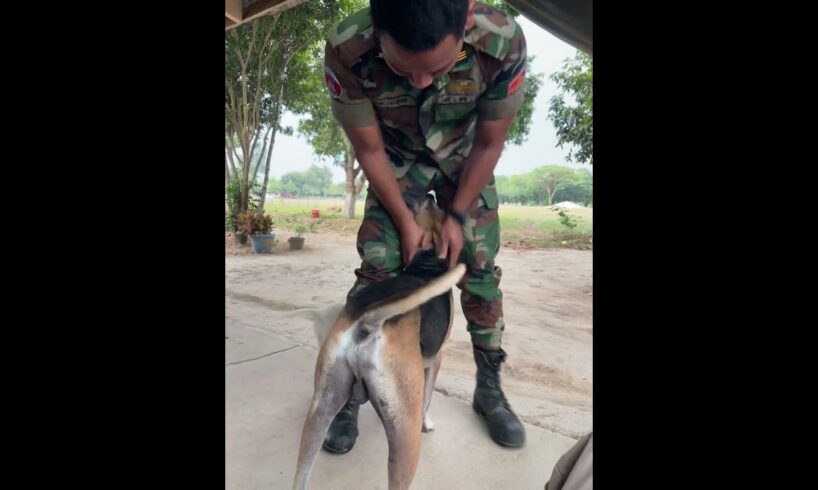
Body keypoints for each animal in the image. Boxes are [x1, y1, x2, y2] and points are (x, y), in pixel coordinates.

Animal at [294, 196, 462, 490]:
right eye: (439, 210)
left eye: (432, 208)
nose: (430, 195)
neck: (427, 262)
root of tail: (368, 322)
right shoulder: (436, 360)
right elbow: (429, 399)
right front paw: (428, 423)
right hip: (406, 438)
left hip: (320, 408)